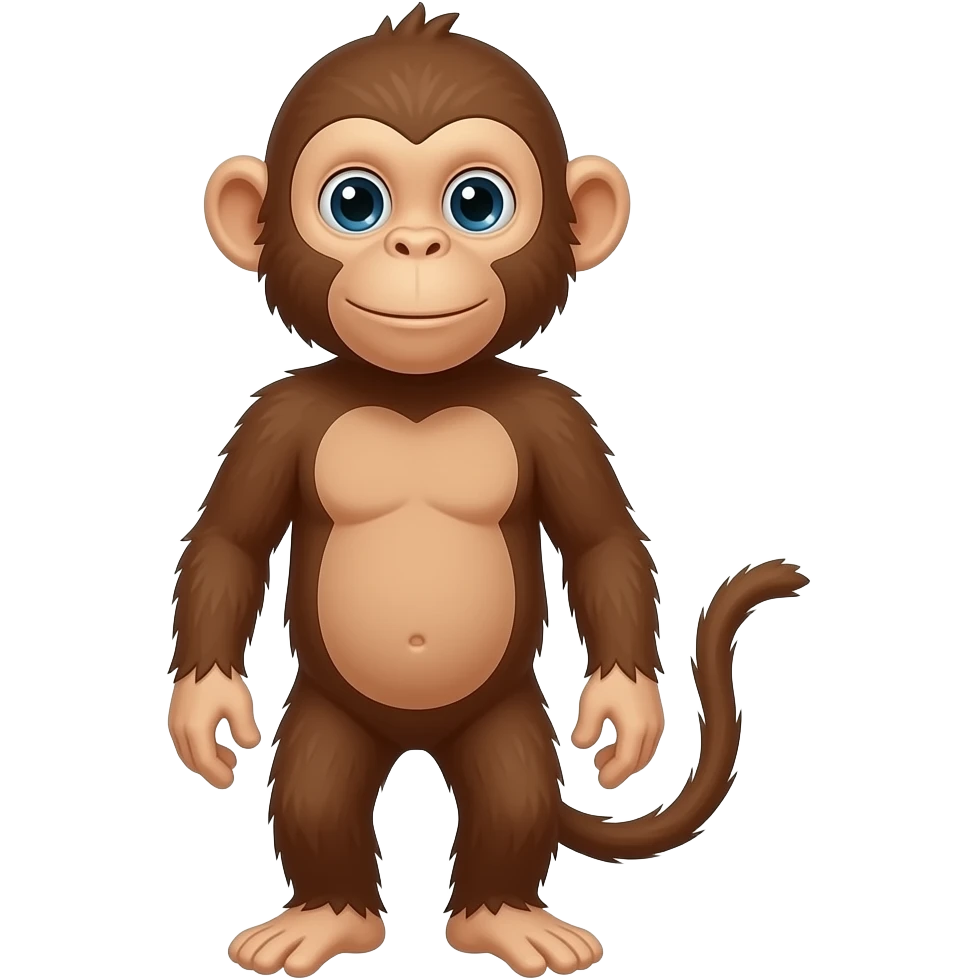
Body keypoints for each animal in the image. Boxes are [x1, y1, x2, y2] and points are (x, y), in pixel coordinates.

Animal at [170, 6, 810, 978]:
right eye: (354, 202)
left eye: (476, 203)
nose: (416, 245)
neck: (417, 392)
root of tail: (417, 735)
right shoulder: (273, 417)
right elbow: (230, 542)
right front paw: (205, 707)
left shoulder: (557, 416)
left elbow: (600, 541)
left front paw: (624, 709)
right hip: (329, 708)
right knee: (316, 788)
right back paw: (325, 917)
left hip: (504, 711)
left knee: (512, 792)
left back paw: (503, 917)